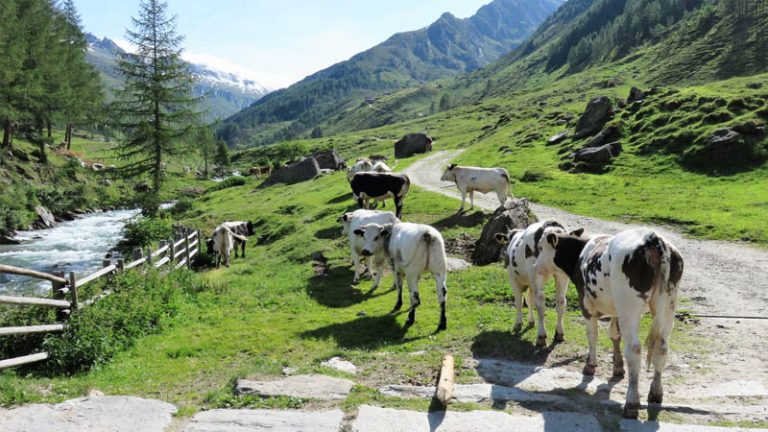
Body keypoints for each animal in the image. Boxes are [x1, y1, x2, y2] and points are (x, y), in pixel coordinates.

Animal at [536, 228, 688, 416]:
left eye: (540, 247)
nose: (535, 267)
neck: (580, 254)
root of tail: (652, 239)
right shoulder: (616, 311)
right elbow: (615, 334)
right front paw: (617, 367)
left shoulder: (586, 305)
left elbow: (592, 335)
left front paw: (590, 365)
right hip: (667, 306)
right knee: (662, 348)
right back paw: (655, 393)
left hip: (630, 308)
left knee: (634, 350)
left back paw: (632, 403)